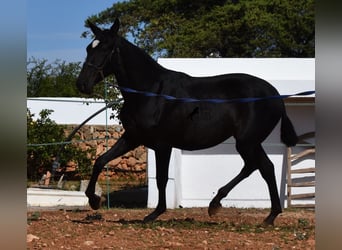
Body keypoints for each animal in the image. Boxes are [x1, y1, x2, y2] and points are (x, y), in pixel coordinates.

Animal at [76, 18, 298, 225]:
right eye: (88, 48)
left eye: (106, 48)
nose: (82, 84)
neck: (151, 92)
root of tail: (276, 95)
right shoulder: (132, 138)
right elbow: (100, 160)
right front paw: (93, 200)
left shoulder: (162, 145)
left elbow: (162, 179)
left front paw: (155, 213)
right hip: (251, 142)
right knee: (261, 167)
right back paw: (255, 212)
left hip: (247, 141)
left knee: (258, 166)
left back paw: (230, 207)